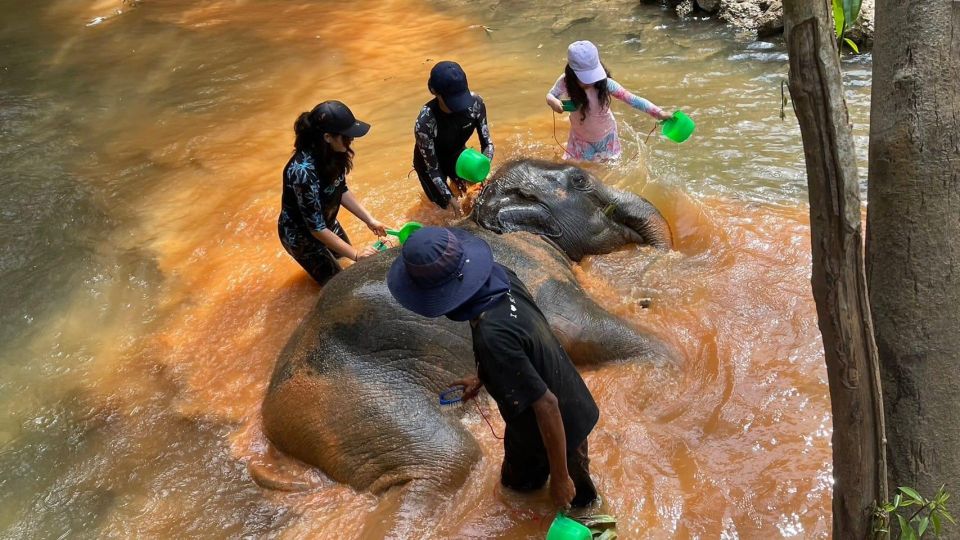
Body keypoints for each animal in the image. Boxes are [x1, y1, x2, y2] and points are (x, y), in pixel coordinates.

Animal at [258, 159, 672, 536]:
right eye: (581, 182)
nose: (648, 295)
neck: (488, 219)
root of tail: (271, 416)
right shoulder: (535, 270)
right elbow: (579, 328)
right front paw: (670, 361)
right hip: (350, 398)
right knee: (448, 458)